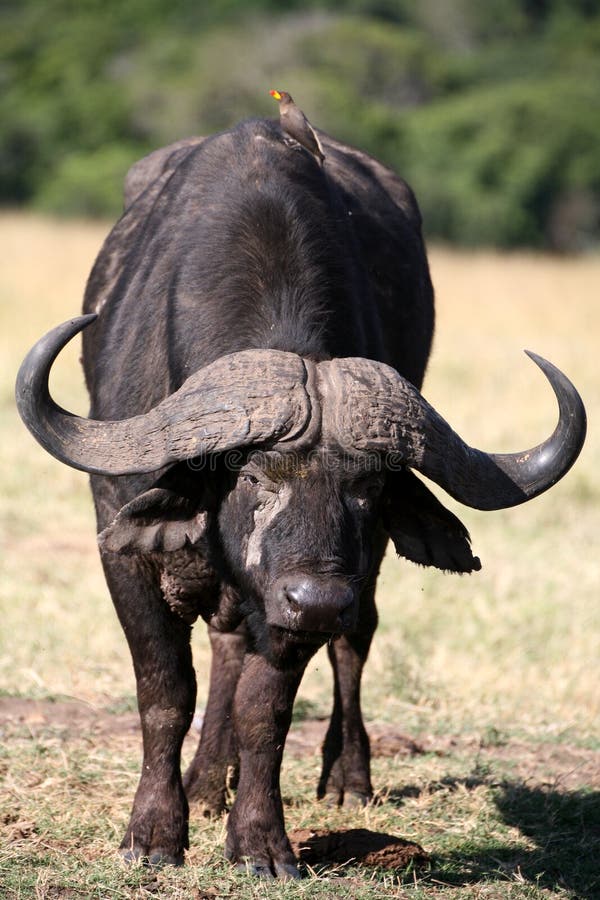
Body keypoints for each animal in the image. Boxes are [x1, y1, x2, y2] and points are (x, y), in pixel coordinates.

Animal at [16, 114, 584, 880]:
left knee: (353, 641)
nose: (315, 600)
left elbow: (266, 709)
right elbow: (165, 691)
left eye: (369, 487)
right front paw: (154, 833)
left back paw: (344, 778)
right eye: (252, 474)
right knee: (225, 647)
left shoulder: (307, 592)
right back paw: (205, 786)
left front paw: (260, 842)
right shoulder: (124, 545)